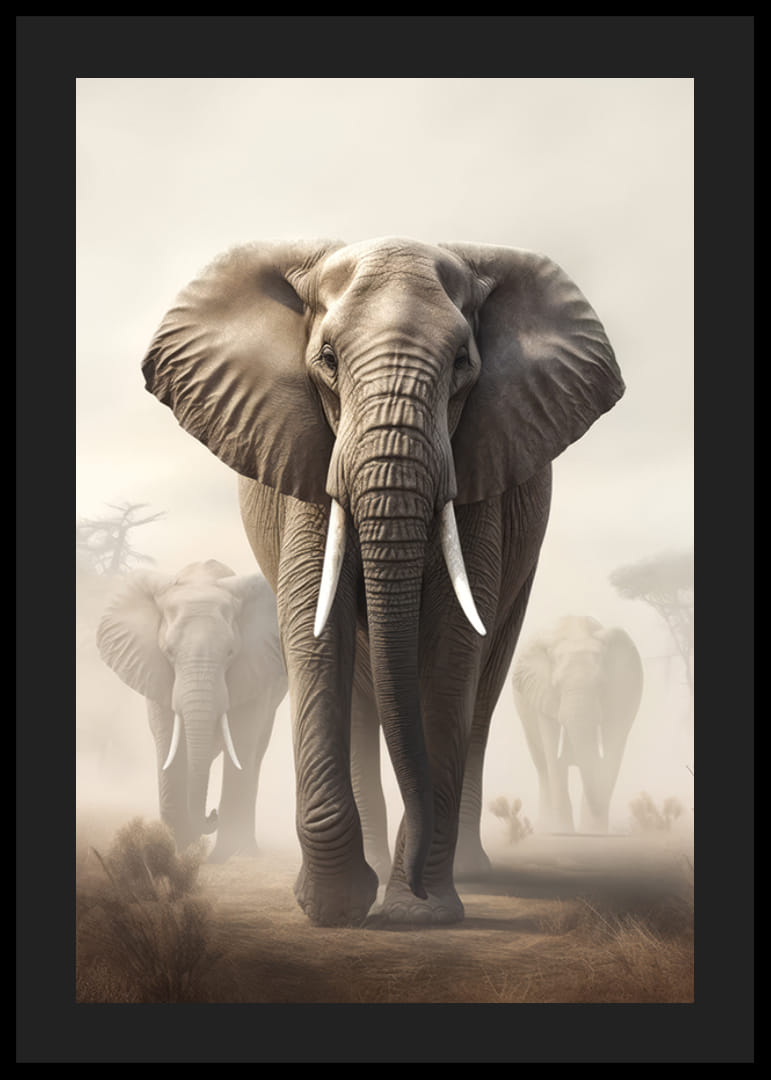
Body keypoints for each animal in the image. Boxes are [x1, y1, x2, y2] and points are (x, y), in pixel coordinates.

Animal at [96, 559, 288, 861]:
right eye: (169, 652)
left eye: (230, 653)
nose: (212, 814)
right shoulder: (155, 671)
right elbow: (168, 742)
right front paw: (176, 851)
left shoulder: (255, 671)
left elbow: (241, 739)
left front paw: (224, 857)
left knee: (255, 751)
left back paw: (245, 851)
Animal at [140, 236, 624, 925]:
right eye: (327, 360)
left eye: (462, 364)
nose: (415, 889)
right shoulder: (308, 457)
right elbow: (315, 631)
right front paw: (336, 909)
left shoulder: (480, 472)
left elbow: (452, 649)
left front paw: (421, 914)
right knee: (363, 693)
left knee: (483, 691)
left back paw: (467, 874)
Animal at [512, 615, 644, 835]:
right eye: (556, 686)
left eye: (601, 685)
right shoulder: (541, 693)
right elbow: (552, 750)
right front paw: (562, 833)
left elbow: (613, 748)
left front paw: (595, 833)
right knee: (542, 766)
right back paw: (547, 827)